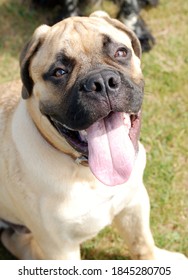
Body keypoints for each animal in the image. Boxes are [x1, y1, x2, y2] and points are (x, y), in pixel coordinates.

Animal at [0, 12, 186, 260]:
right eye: (59, 72)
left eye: (121, 52)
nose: (102, 82)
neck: (86, 173)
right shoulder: (59, 248)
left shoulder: (134, 202)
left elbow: (141, 241)